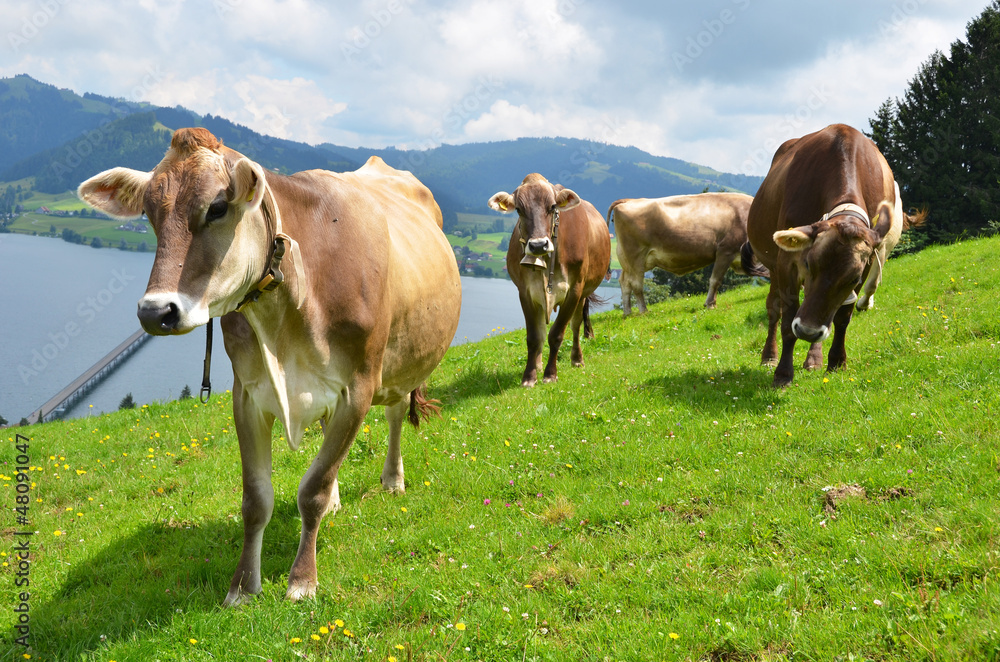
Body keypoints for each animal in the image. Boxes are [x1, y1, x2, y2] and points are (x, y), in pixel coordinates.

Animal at [78, 128, 462, 605]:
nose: (154, 312)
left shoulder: (358, 388)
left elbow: (312, 490)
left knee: (393, 416)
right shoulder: (248, 395)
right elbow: (256, 500)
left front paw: (302, 580)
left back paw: (392, 480)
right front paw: (243, 586)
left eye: (217, 207)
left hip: (401, 363)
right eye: (149, 213)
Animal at [488, 174, 611, 387]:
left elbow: (557, 334)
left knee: (576, 325)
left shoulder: (574, 290)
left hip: (583, 294)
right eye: (519, 209)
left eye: (553, 207)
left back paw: (577, 359)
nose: (538, 245)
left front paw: (550, 374)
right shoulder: (526, 292)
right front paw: (530, 376)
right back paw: (538, 363)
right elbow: (534, 336)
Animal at [606, 192, 768, 314]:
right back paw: (644, 311)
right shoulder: (725, 250)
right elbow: (715, 280)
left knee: (624, 282)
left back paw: (627, 312)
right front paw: (710, 304)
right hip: (635, 255)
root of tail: (628, 201)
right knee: (636, 283)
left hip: (628, 259)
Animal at [747, 123, 913, 387]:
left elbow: (843, 317)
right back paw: (769, 355)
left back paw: (814, 358)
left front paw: (836, 361)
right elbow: (787, 320)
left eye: (854, 279)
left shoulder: (866, 265)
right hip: (773, 266)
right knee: (774, 308)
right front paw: (783, 373)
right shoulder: (787, 263)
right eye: (808, 263)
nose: (808, 331)